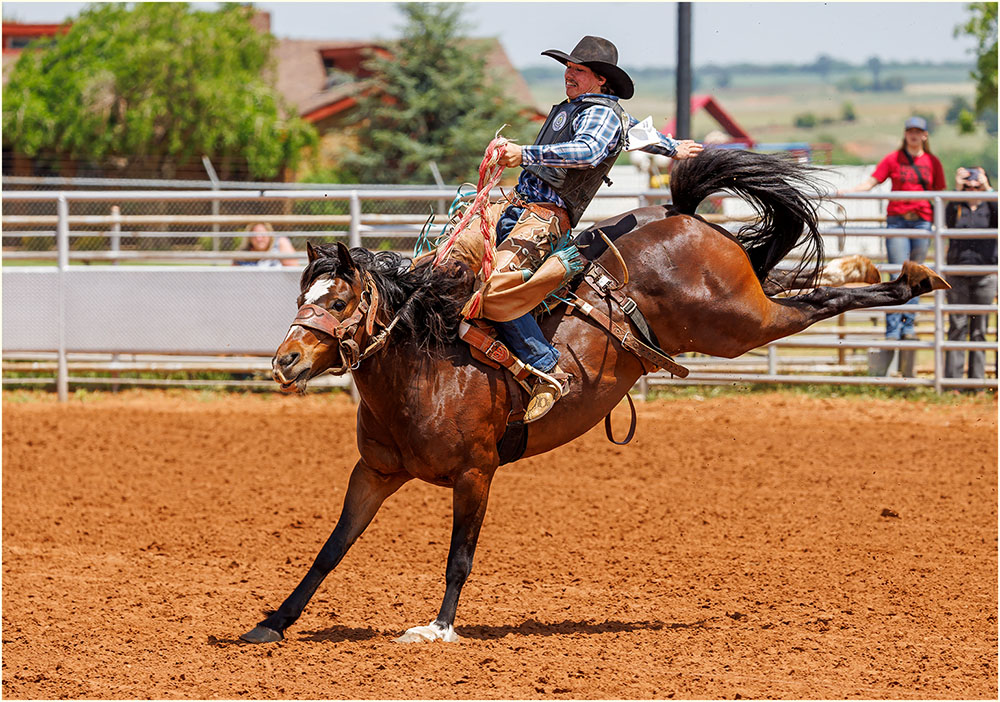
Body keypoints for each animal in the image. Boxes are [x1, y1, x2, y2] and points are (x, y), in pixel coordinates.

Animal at [240, 151, 944, 648]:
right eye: (301, 294)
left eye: (337, 301)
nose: (285, 361)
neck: (429, 366)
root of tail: (682, 216)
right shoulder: (375, 472)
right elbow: (331, 549)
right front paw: (272, 622)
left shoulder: (476, 474)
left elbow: (458, 558)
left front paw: (437, 628)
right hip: (737, 315)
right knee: (797, 285)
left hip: (738, 323)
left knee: (817, 298)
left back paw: (911, 278)